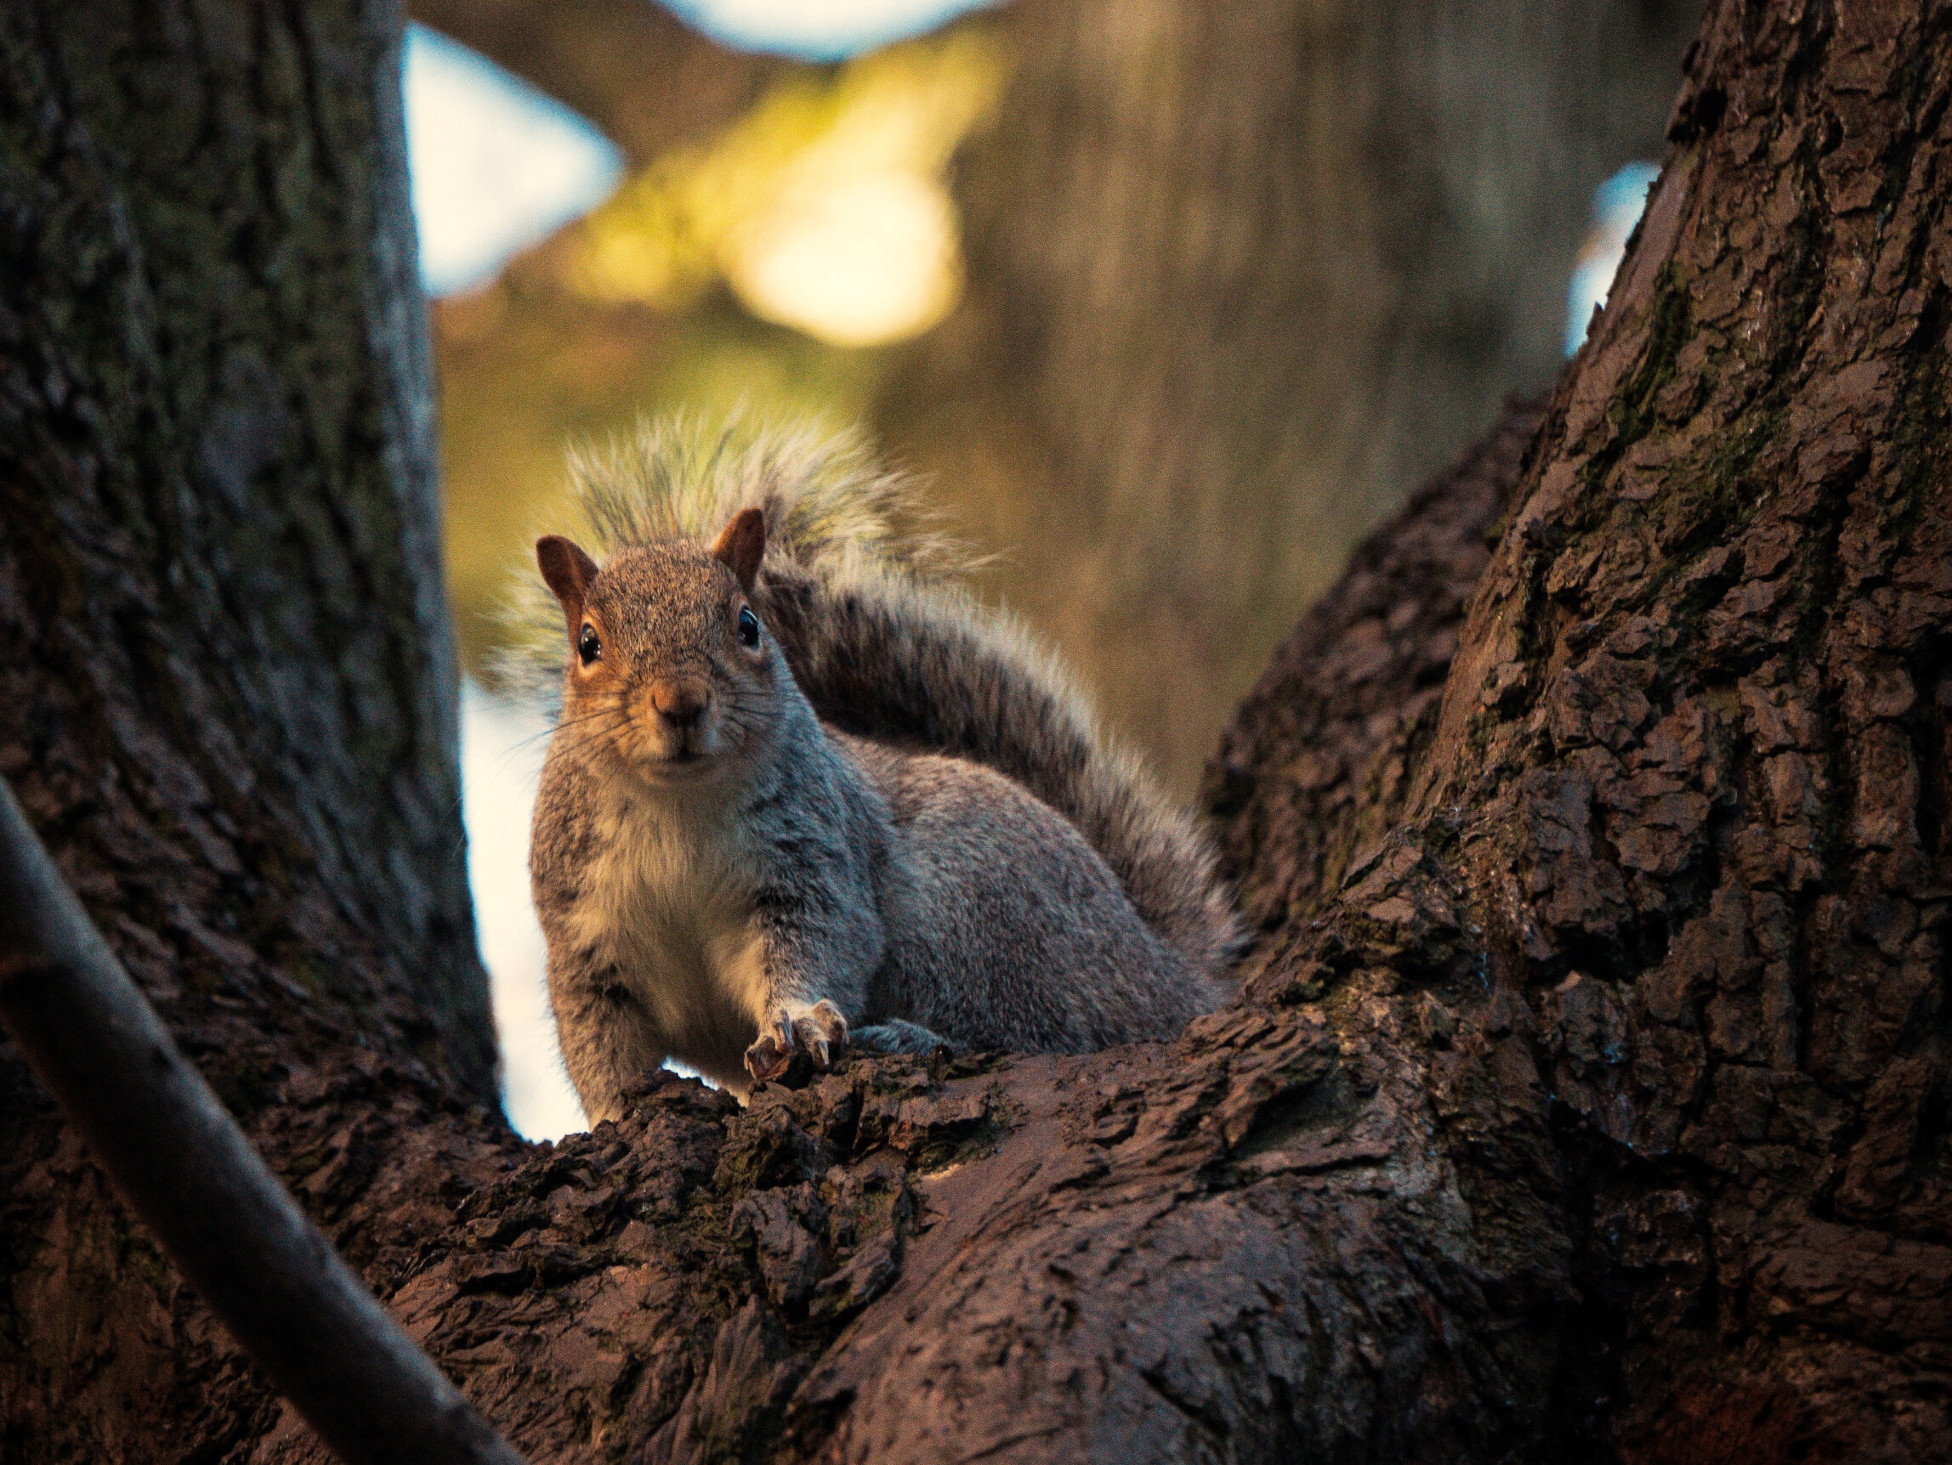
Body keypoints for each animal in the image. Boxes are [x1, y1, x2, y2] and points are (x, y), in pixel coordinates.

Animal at [523, 417, 1233, 1115]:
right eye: (587, 643)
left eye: (748, 625)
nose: (681, 703)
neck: (679, 804)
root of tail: (1166, 973)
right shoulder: (583, 935)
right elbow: (596, 1036)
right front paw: (614, 1111)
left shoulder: (809, 866)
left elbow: (816, 944)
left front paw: (798, 1020)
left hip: (972, 917)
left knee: (1037, 1033)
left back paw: (910, 1037)